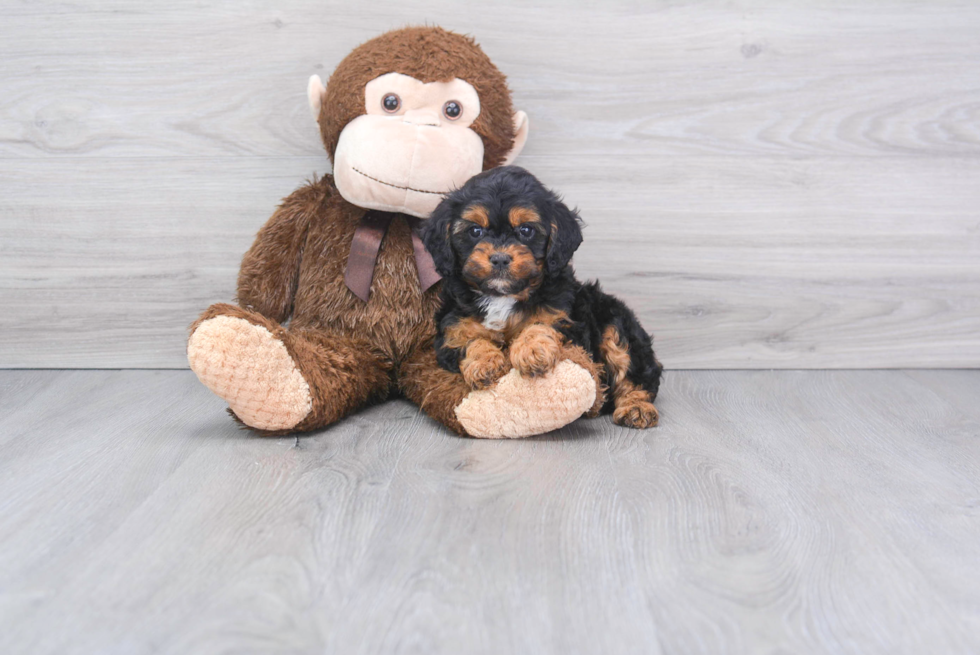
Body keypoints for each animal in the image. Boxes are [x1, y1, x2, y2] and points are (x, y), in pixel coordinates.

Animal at [424, 167, 664, 428]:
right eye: (475, 231)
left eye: (526, 230)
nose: (500, 258)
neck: (504, 295)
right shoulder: (451, 330)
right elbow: (470, 340)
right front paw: (483, 363)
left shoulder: (567, 320)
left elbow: (541, 323)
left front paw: (532, 350)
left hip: (615, 323)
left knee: (635, 373)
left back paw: (636, 408)